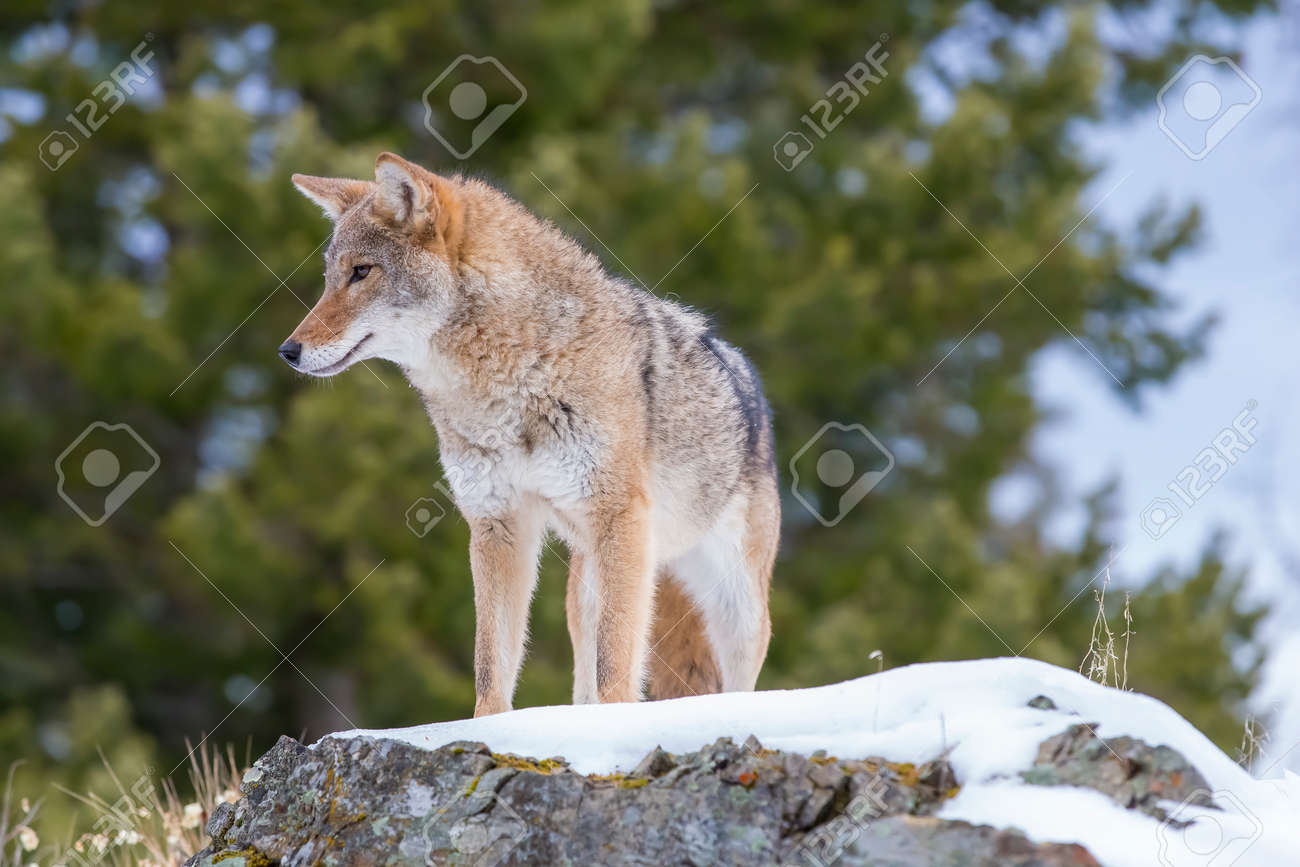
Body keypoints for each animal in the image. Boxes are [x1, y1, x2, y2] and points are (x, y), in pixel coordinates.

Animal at [280, 153, 779, 717]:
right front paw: (487, 727)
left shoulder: (617, 512)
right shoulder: (497, 521)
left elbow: (615, 662)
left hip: (731, 603)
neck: (510, 383)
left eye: (361, 272)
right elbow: (491, 663)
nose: (288, 351)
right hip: (586, 586)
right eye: (329, 278)